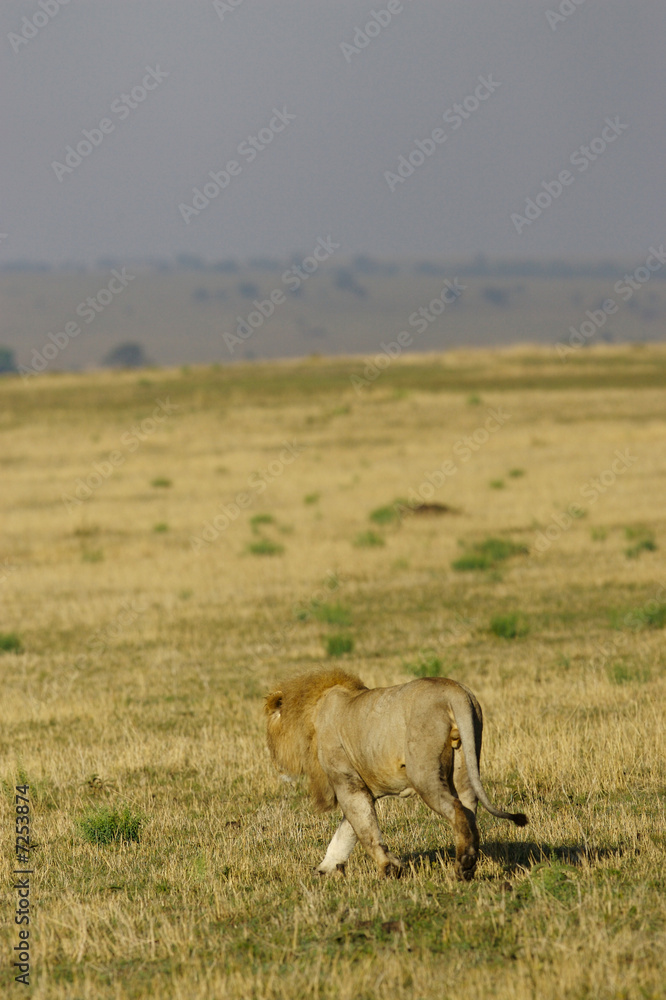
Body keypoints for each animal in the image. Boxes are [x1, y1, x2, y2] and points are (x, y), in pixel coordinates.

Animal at [265, 668, 527, 881]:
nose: (276, 765)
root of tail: (455, 692)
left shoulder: (347, 781)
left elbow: (364, 829)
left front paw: (388, 869)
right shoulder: (362, 786)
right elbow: (348, 831)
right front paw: (325, 868)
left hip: (423, 772)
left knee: (456, 809)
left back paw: (462, 868)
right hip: (464, 762)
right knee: (469, 807)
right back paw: (468, 863)